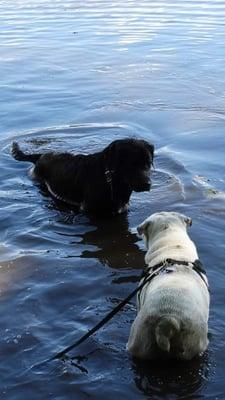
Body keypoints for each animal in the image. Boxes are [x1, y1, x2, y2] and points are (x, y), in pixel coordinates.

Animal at [11, 139, 154, 217]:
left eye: (148, 163)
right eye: (131, 164)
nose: (147, 184)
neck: (111, 182)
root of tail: (41, 155)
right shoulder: (89, 209)